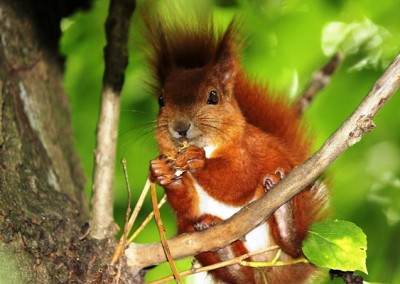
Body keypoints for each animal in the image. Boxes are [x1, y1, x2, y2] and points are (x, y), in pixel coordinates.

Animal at [145, 7, 326, 282]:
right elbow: (187, 203)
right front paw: (163, 173)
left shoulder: (247, 149)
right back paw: (226, 255)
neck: (211, 146)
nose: (180, 127)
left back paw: (286, 220)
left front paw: (197, 160)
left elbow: (239, 180)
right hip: (191, 234)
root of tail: (268, 268)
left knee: (295, 246)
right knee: (242, 274)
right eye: (161, 100)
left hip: (297, 202)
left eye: (213, 96)